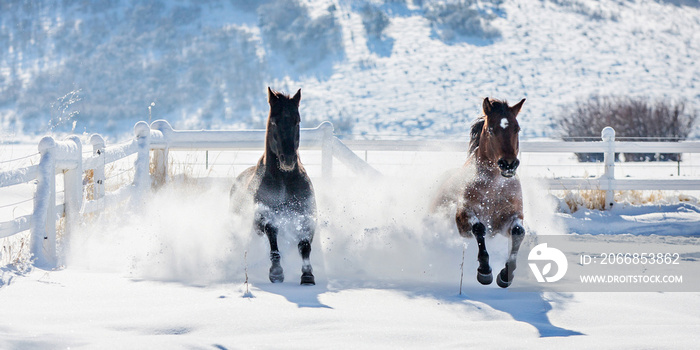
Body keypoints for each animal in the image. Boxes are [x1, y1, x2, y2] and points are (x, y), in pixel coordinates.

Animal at [230, 87, 318, 284]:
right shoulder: (264, 217)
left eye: (297, 121)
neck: (284, 181)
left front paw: (307, 275)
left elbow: (305, 246)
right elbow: (273, 237)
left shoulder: (306, 215)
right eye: (274, 122)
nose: (288, 160)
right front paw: (276, 272)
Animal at [434, 98, 528, 288]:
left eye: (517, 128)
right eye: (491, 129)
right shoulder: (463, 219)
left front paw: (505, 275)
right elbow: (479, 228)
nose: (509, 164)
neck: (494, 189)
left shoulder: (509, 219)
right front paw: (485, 272)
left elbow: (518, 232)